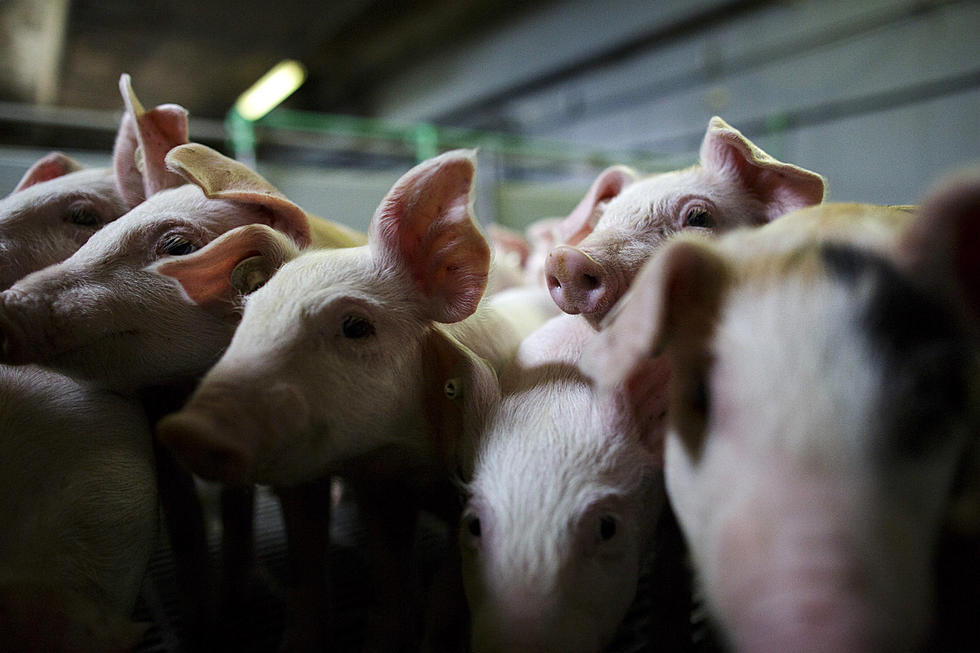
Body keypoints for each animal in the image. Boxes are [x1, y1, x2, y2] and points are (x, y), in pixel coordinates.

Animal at [150, 149, 556, 652]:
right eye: (249, 317)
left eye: (357, 326)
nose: (184, 430)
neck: (411, 458)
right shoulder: (380, 486)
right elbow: (388, 569)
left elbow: (449, 591)